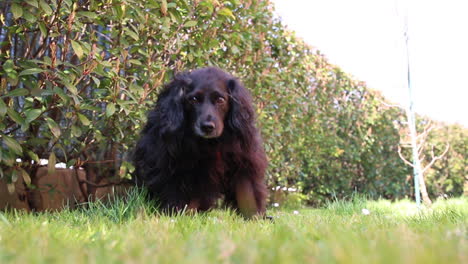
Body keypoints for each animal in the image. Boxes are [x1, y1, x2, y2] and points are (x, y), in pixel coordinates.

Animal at [133, 66, 268, 219]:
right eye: (193, 99)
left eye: (220, 100)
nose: (207, 127)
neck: (212, 143)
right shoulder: (178, 168)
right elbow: (178, 196)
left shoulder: (244, 164)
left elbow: (248, 196)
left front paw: (256, 218)